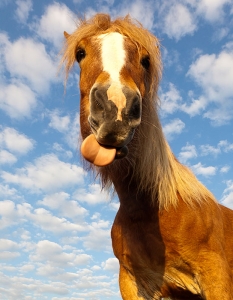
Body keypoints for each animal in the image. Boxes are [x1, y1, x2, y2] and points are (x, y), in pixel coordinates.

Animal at [61, 12, 233, 298]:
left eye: (145, 60)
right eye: (80, 53)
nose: (116, 108)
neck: (148, 206)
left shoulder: (216, 275)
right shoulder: (133, 282)